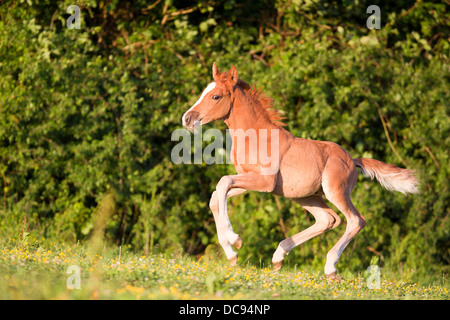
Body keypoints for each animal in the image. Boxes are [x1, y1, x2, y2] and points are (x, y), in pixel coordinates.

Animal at [180, 62, 418, 278]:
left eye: (215, 96)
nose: (187, 119)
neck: (255, 136)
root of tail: (352, 159)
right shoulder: (250, 179)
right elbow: (216, 196)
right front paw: (232, 254)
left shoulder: (265, 182)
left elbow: (223, 182)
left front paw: (234, 240)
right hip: (305, 196)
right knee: (327, 219)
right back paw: (278, 257)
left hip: (335, 192)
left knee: (355, 220)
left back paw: (330, 269)